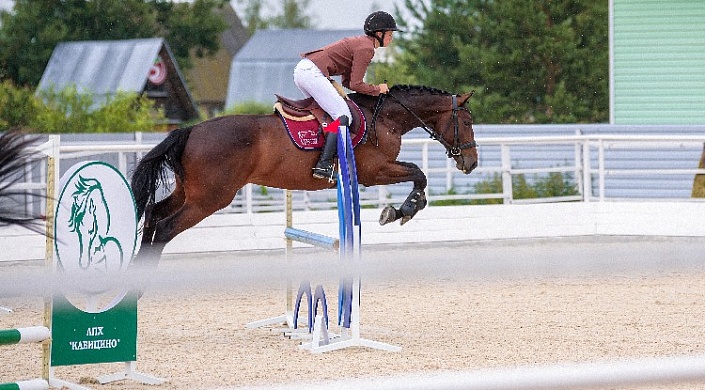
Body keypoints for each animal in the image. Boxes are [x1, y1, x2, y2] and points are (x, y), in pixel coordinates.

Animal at [131, 85, 478, 266]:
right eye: (468, 122)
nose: (471, 163)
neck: (385, 119)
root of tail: (190, 131)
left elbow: (419, 175)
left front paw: (404, 209)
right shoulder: (375, 172)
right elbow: (419, 174)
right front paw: (401, 210)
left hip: (187, 192)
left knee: (153, 214)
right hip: (210, 199)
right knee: (164, 228)